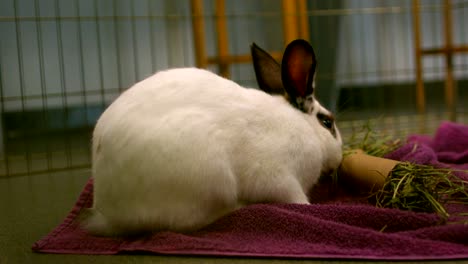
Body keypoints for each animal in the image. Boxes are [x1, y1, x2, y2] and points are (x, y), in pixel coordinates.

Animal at [82, 38, 342, 235]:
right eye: (327, 122)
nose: (339, 160)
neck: (303, 126)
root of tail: (110, 214)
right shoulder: (279, 177)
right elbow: (294, 198)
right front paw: (307, 205)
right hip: (211, 180)